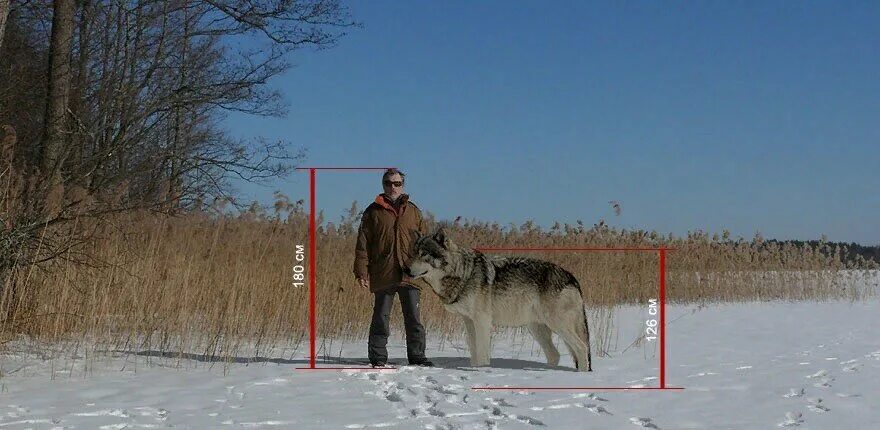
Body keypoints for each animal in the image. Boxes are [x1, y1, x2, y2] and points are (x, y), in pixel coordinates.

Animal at [406, 230, 592, 372]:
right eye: (412, 254)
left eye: (424, 255)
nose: (405, 269)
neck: (463, 273)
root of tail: (571, 276)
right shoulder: (469, 321)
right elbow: (474, 351)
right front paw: (474, 369)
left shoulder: (482, 321)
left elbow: (482, 353)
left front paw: (481, 372)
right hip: (537, 328)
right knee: (555, 354)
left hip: (557, 325)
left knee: (582, 348)